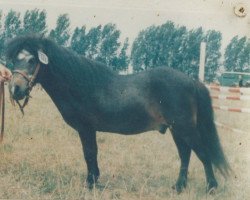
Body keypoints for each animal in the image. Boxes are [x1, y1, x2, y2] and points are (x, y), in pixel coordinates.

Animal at [5, 35, 230, 193]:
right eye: (15, 60)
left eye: (32, 59)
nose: (15, 89)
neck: (81, 85)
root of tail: (192, 81)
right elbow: (92, 154)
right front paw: (94, 180)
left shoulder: (86, 128)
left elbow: (89, 153)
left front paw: (90, 183)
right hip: (177, 129)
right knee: (185, 155)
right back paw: (179, 187)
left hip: (185, 128)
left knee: (202, 154)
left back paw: (211, 188)